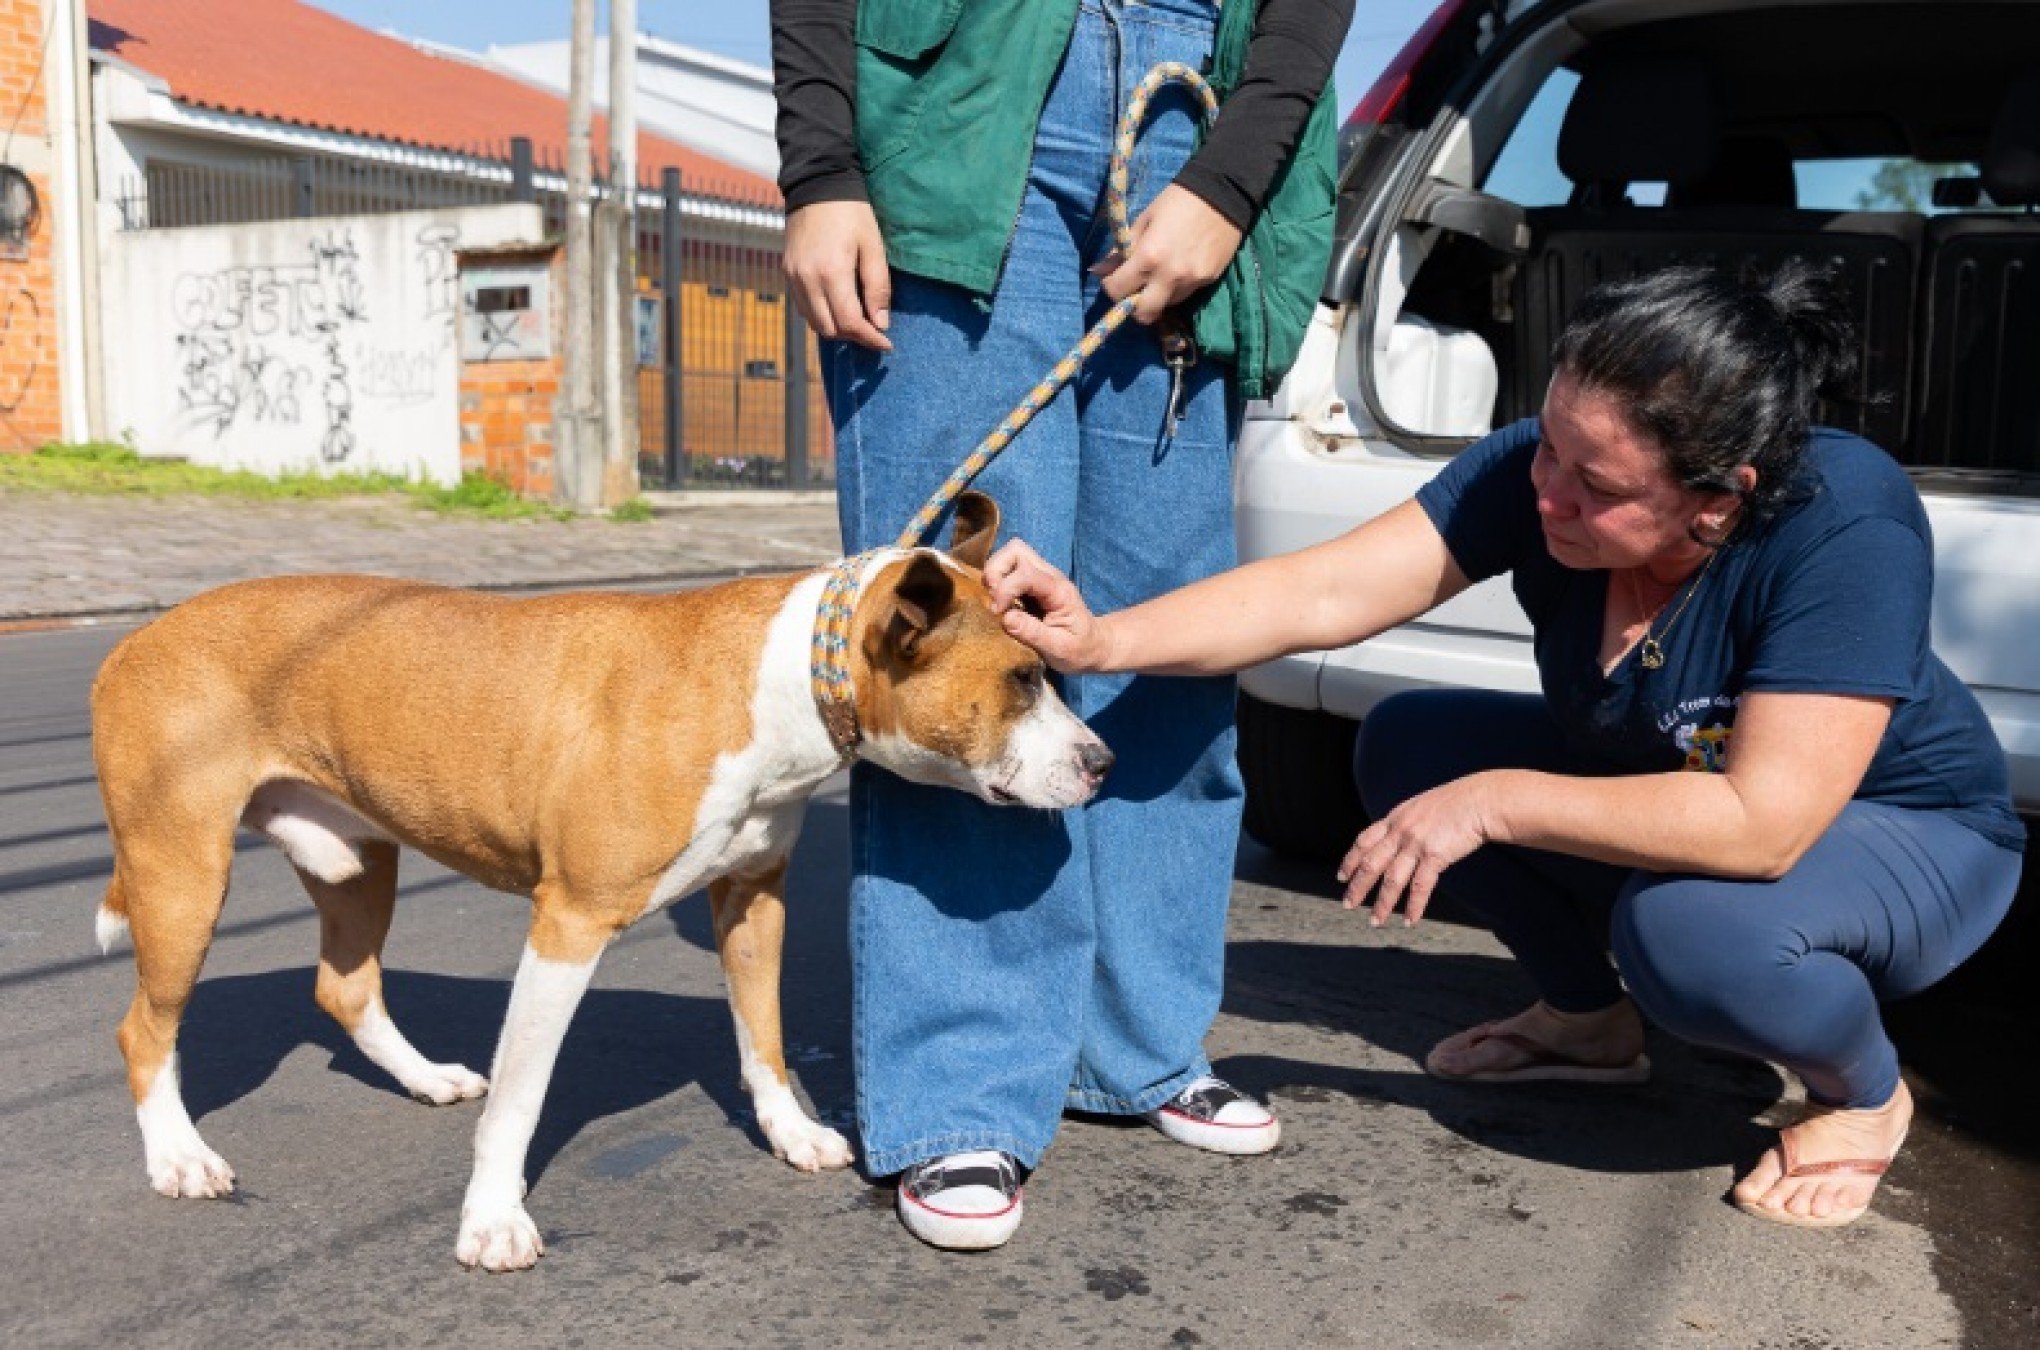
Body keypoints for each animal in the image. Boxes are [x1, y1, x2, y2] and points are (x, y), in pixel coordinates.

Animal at [87, 491, 1109, 1272]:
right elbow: (523, 1097)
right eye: (1023, 680)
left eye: (1051, 672)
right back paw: (179, 1155)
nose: (1102, 763)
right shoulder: (569, 924)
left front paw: (789, 1131)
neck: (783, 681)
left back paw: (422, 1077)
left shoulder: (754, 898)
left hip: (356, 859)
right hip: (181, 873)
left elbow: (765, 1039)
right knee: (145, 1029)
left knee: (344, 987)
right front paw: (492, 1218)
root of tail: (131, 643)